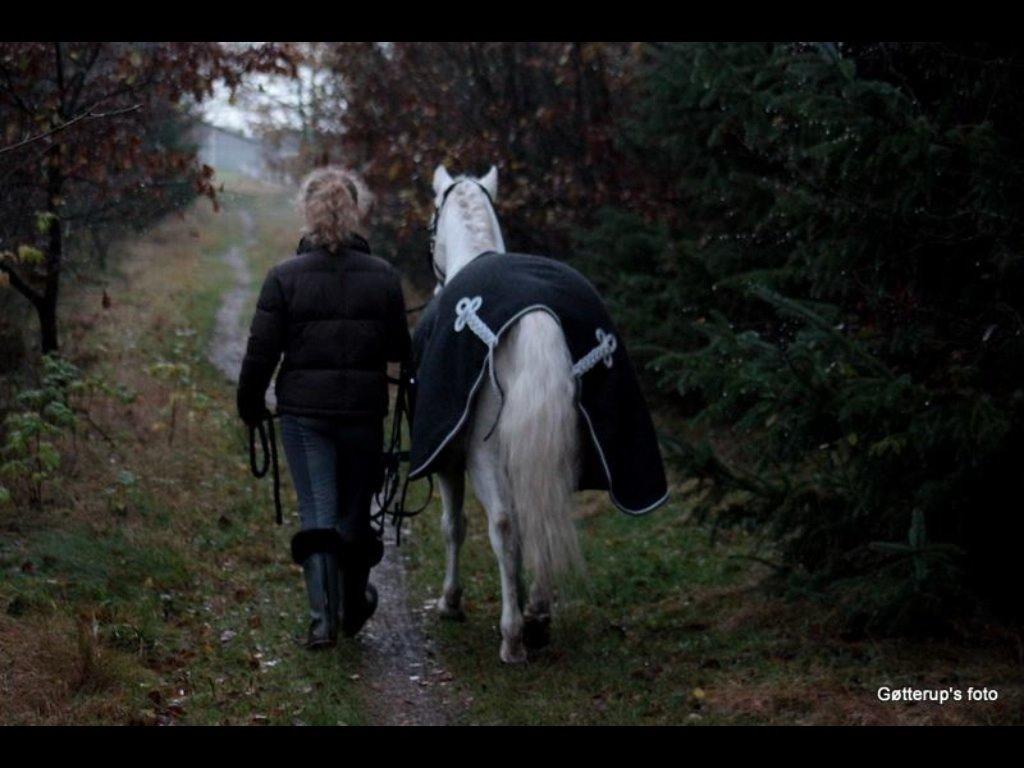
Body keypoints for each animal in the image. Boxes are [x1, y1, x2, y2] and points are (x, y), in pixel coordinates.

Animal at [424, 164, 583, 663]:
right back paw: (537, 613)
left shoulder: (450, 463)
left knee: (505, 525)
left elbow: (454, 526)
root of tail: (536, 317)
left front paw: (450, 601)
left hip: (485, 457)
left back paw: (513, 635)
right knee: (543, 512)